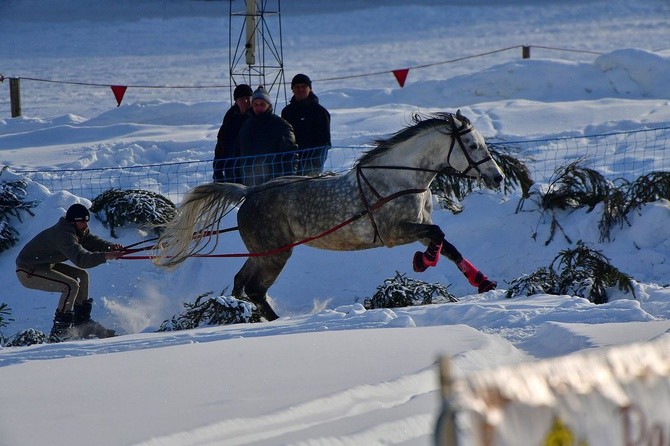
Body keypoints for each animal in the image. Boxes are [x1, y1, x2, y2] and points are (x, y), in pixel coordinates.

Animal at [156, 111, 504, 320]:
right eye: (472, 145)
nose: (498, 177)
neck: (402, 179)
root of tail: (249, 192)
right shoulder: (395, 232)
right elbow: (438, 235)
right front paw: (423, 261)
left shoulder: (416, 225)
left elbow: (449, 245)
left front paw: (484, 282)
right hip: (275, 253)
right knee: (253, 287)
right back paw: (275, 321)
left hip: (264, 252)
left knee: (242, 283)